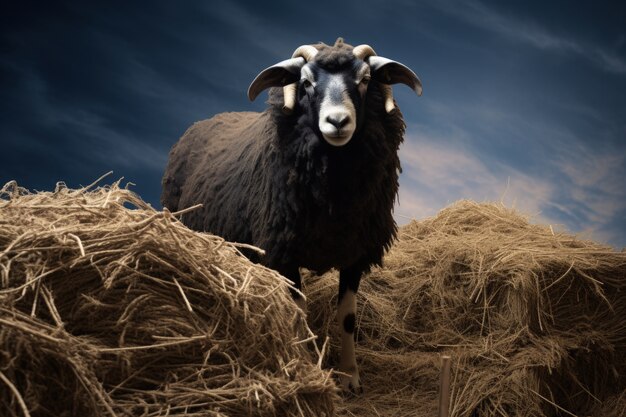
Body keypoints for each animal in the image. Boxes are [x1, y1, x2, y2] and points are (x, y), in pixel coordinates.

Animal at [161, 37, 422, 392]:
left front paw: (349, 376)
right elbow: (299, 313)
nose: (338, 122)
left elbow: (348, 318)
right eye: (306, 82)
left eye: (365, 79)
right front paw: (310, 369)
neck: (334, 199)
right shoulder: (283, 252)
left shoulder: (355, 253)